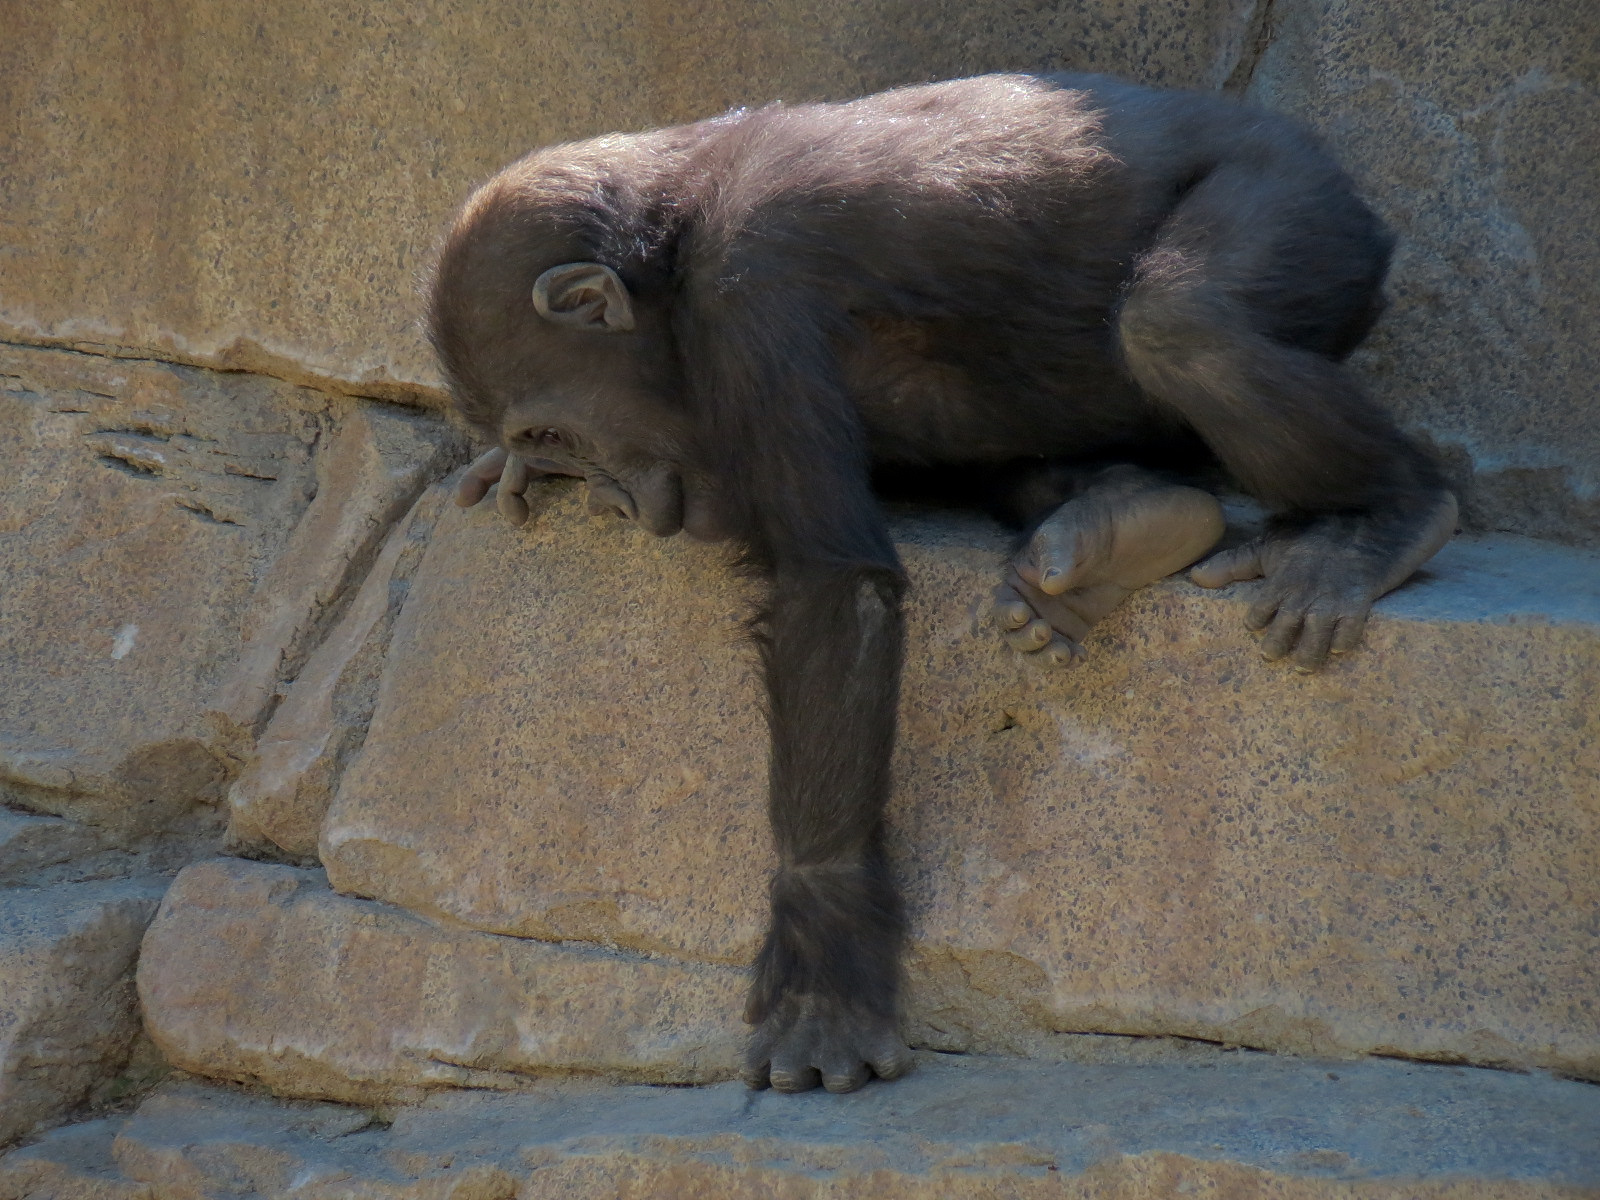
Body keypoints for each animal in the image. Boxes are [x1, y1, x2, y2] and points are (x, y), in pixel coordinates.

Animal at [427, 72, 1458, 1095]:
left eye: (552, 430)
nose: (604, 499)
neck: (669, 266)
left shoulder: (747, 300)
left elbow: (832, 589)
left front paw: (824, 959)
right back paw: (1116, 527)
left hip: (1302, 208)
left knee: (1185, 322)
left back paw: (1383, 519)